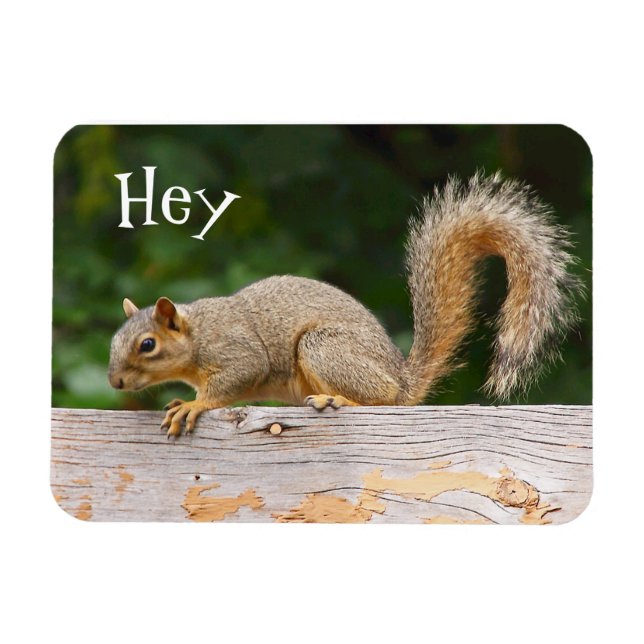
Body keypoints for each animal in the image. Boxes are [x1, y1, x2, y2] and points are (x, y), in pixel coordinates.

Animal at [108, 171, 583, 437]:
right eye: (116, 341)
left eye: (147, 345)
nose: (114, 381)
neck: (198, 332)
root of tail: (403, 381)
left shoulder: (238, 353)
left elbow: (232, 382)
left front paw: (193, 405)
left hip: (324, 347)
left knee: (380, 400)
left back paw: (337, 401)